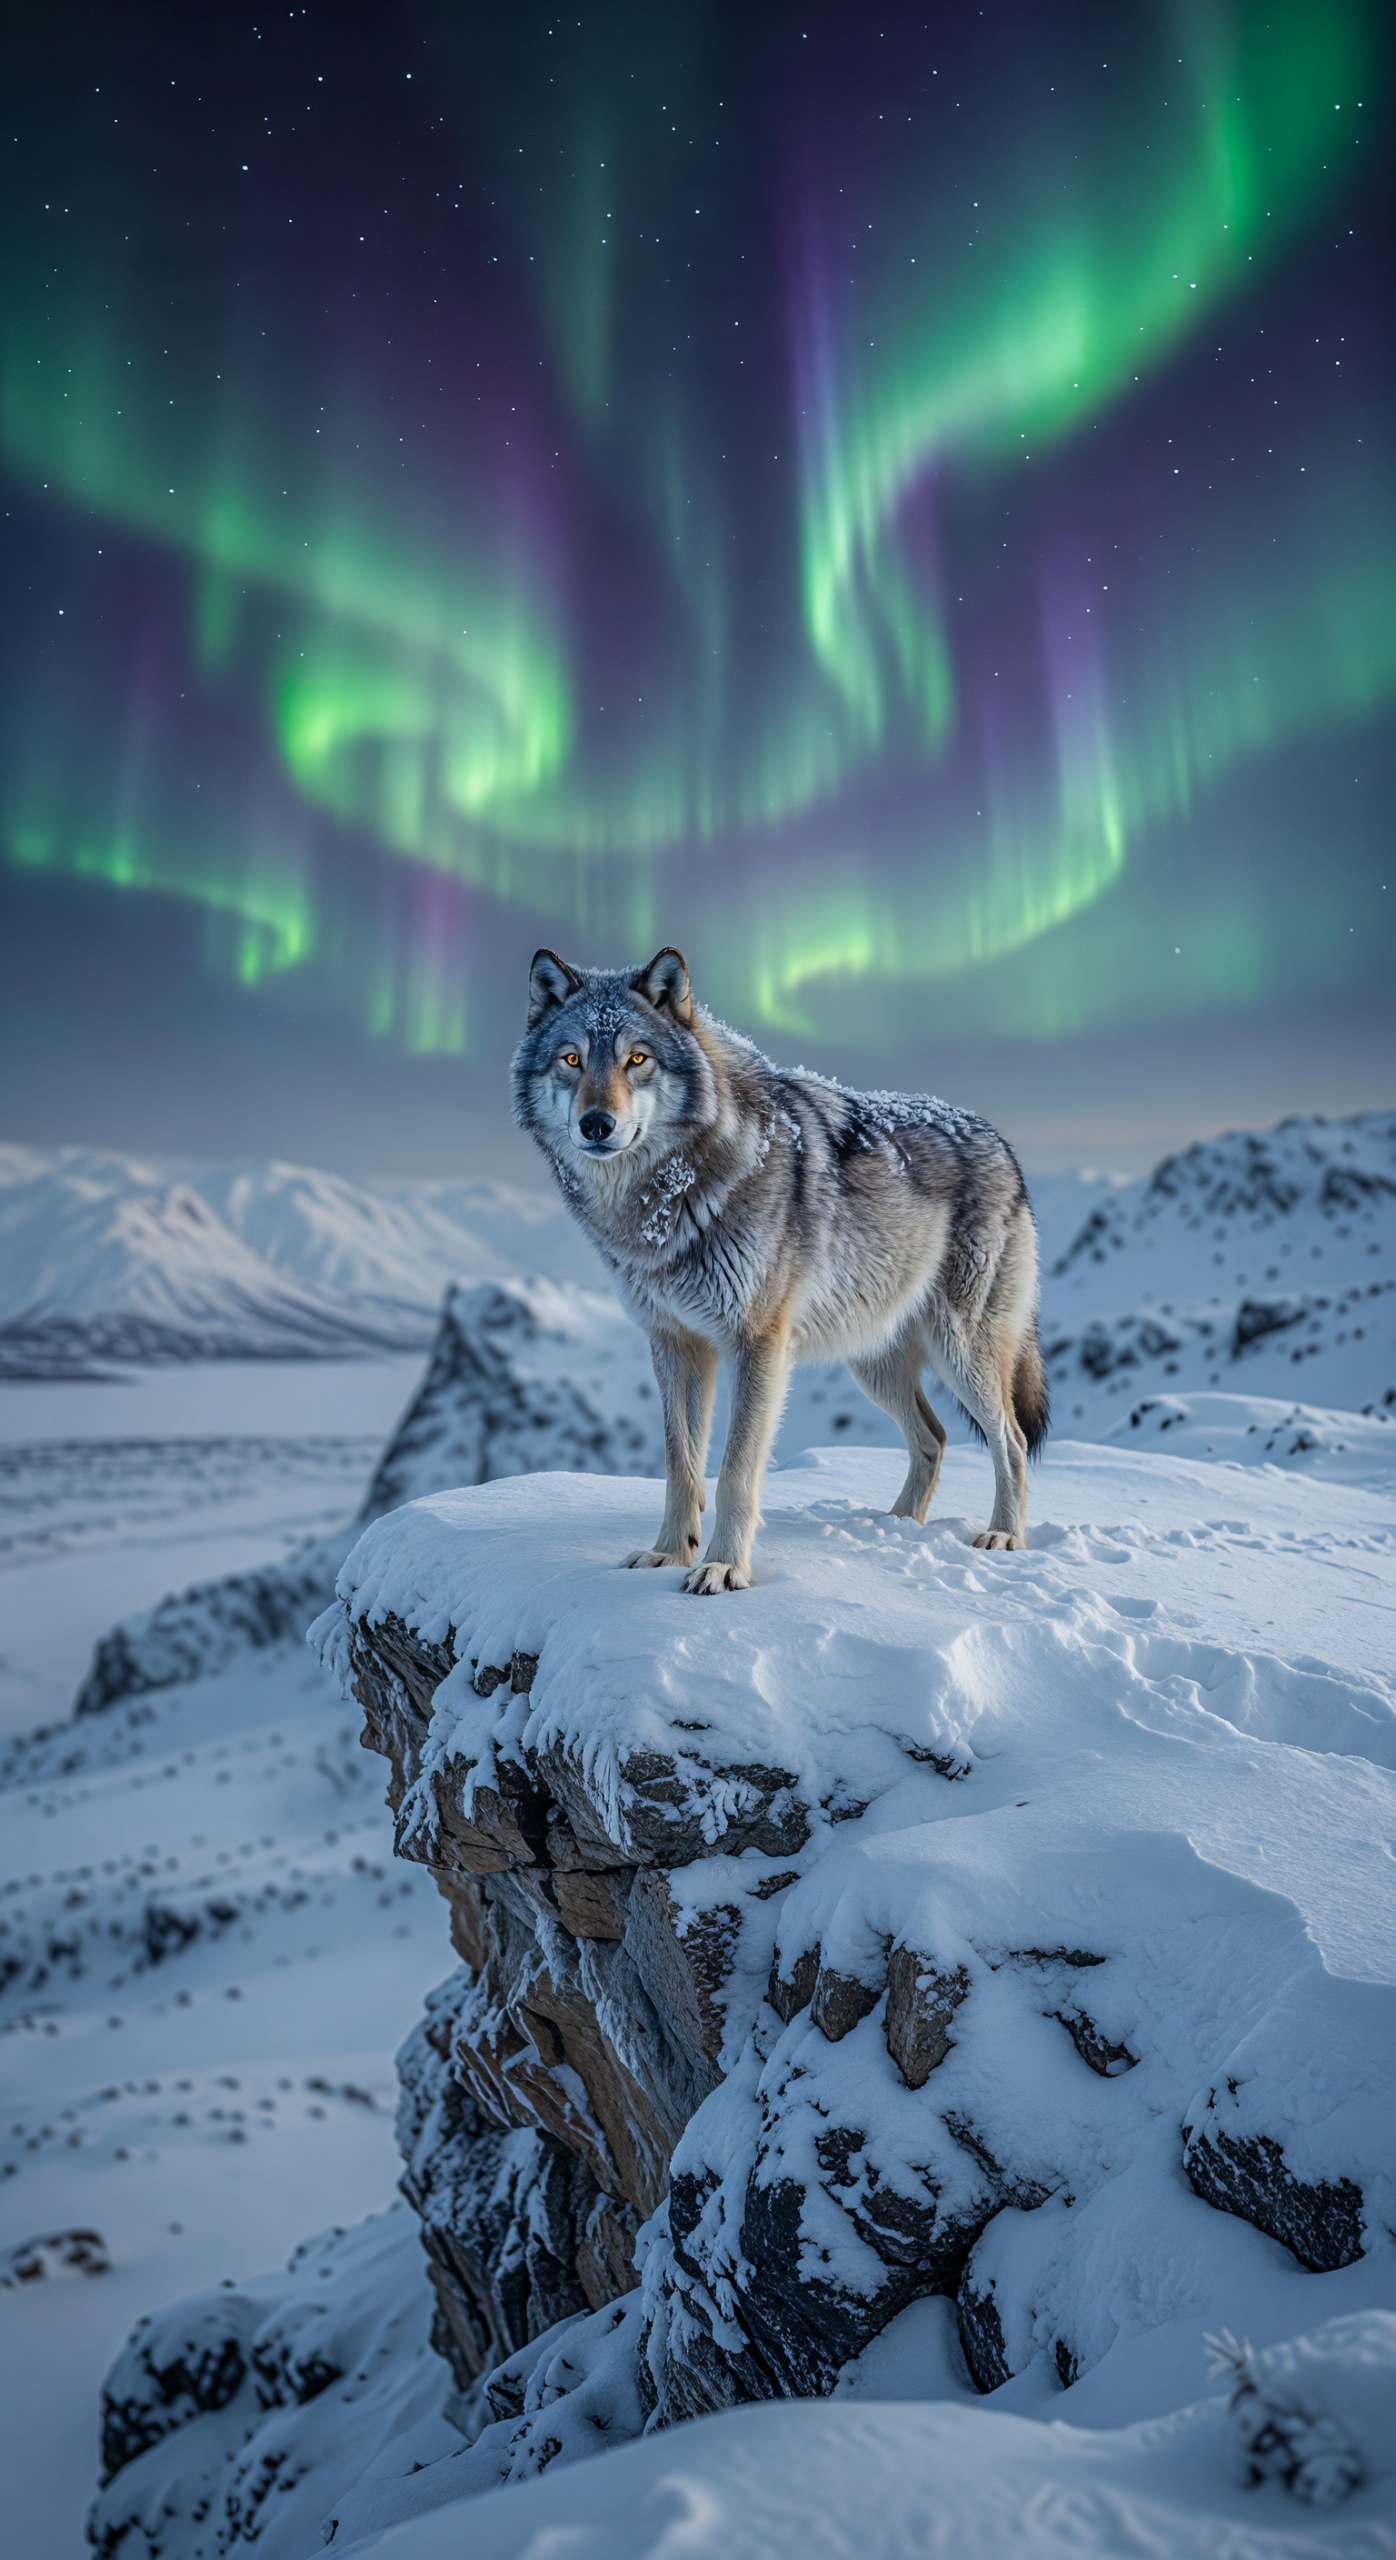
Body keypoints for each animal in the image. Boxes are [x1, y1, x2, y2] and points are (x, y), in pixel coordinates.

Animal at [513, 946, 1048, 1593]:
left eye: (636, 1059)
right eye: (571, 1059)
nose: (596, 1124)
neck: (668, 1200)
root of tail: (1000, 1141)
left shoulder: (757, 1344)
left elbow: (735, 1470)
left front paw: (723, 1568)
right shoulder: (675, 1342)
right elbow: (680, 1465)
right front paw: (669, 1554)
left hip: (961, 1351)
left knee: (1010, 1440)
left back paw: (1005, 1537)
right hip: (872, 1364)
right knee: (935, 1437)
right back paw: (893, 1528)